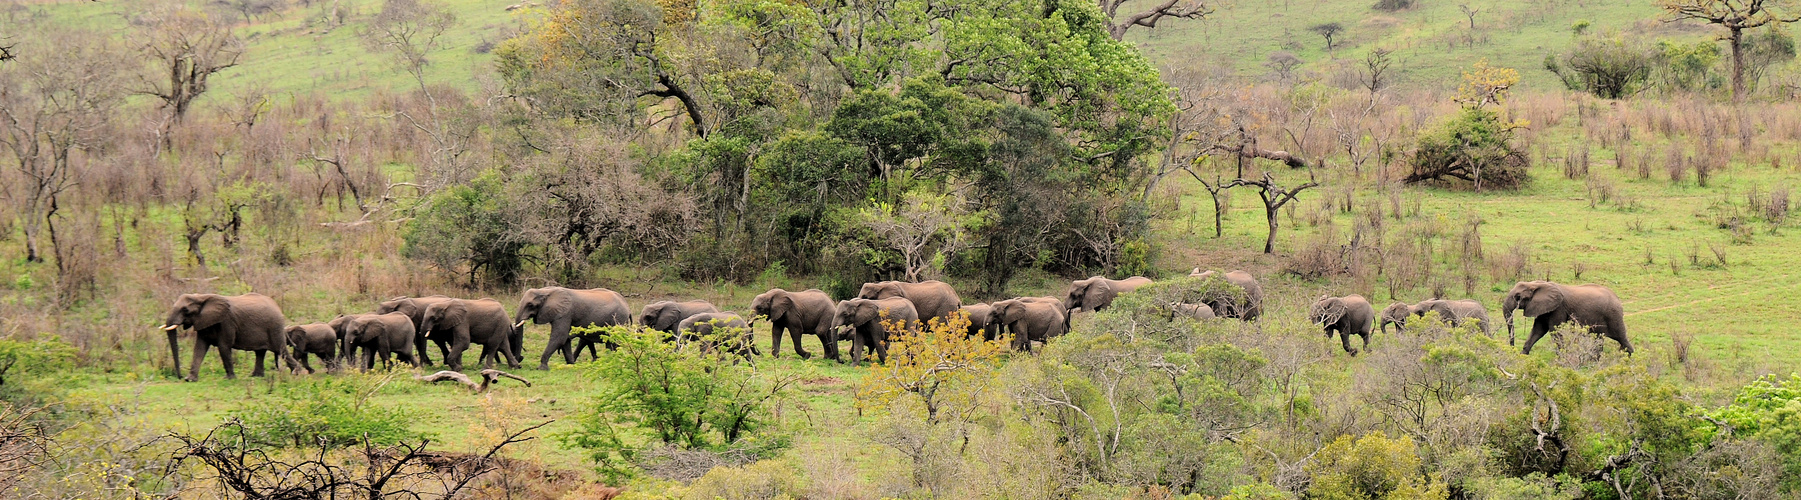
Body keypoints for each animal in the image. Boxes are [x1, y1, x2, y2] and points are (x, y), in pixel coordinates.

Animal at [159, 291, 298, 381]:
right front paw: (190, 379)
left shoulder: (227, 322)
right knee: (260, 352)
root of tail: (277, 306)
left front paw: (229, 378)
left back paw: (298, 373)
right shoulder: (204, 321)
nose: (180, 377)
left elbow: (224, 346)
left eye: (185, 310)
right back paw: (255, 376)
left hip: (274, 327)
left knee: (280, 350)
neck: (201, 297)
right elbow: (199, 347)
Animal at [1491, 280, 1635, 356]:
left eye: (1518, 297)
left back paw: (1627, 359)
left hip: (1613, 315)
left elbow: (1553, 329)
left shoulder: (1558, 308)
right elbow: (1538, 330)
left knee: (1621, 337)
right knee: (1599, 339)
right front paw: (1523, 356)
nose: (1512, 349)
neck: (1537, 284)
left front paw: (1562, 358)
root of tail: (1617, 298)